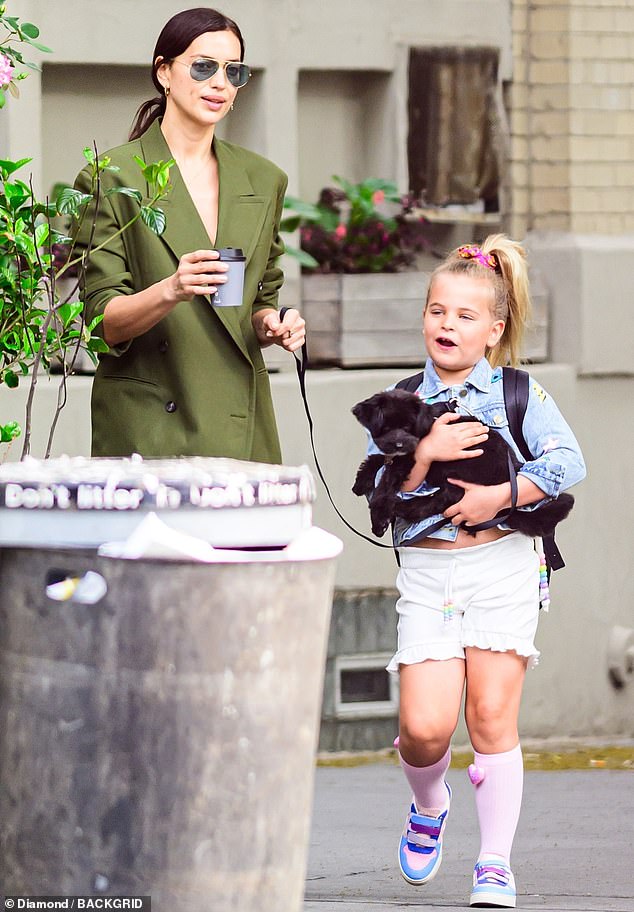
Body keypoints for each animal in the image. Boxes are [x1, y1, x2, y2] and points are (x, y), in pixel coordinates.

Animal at [350, 386, 572, 540]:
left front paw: (379, 517)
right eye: (386, 428)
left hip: (461, 463)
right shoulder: (397, 453)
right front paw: (361, 481)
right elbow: (377, 459)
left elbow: (387, 481)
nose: (398, 443)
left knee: (448, 497)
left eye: (407, 427)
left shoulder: (411, 456)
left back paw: (403, 507)